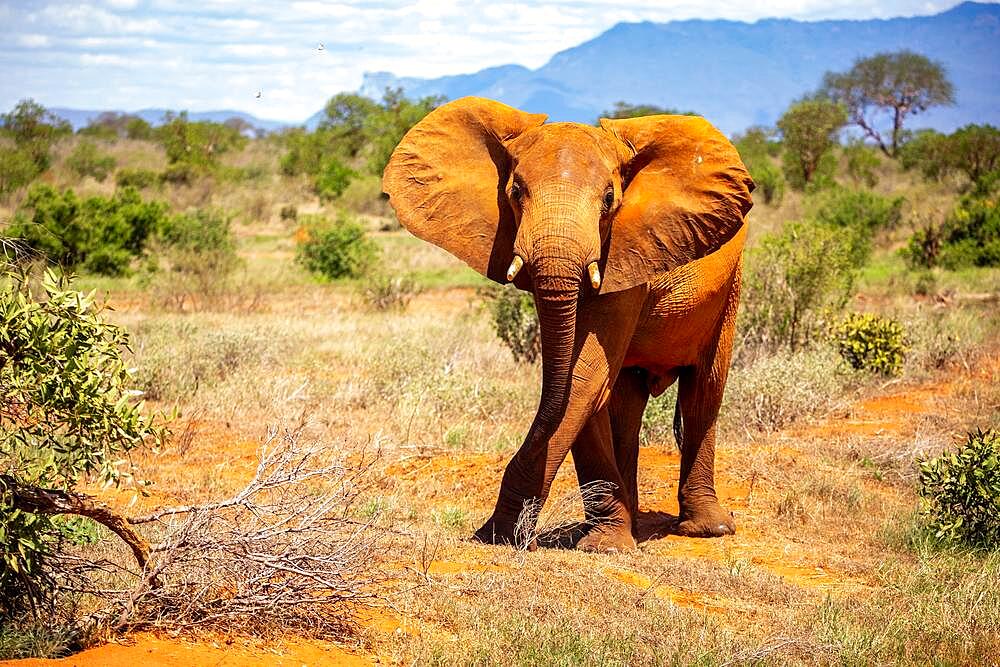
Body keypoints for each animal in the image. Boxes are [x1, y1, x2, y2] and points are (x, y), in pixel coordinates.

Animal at [380, 95, 752, 552]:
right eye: (515, 192)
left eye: (610, 198)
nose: (487, 532)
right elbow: (582, 387)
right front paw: (599, 541)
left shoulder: (624, 252)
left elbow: (583, 378)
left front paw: (511, 535)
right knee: (625, 403)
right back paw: (633, 522)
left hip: (730, 287)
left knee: (704, 391)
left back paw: (707, 529)